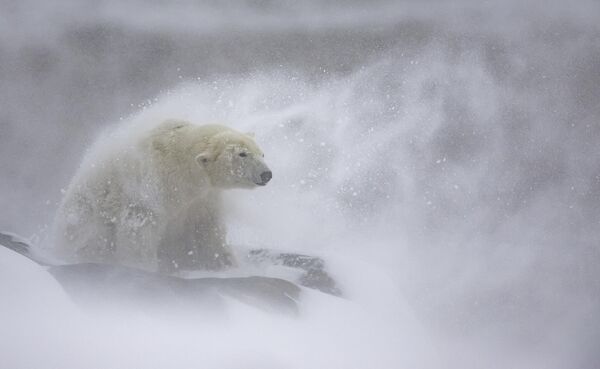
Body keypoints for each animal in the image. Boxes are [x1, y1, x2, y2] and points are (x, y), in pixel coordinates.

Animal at [52, 119, 270, 272]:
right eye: (242, 154)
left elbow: (207, 230)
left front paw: (226, 263)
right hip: (85, 215)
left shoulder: (203, 198)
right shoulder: (150, 187)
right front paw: (142, 267)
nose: (266, 174)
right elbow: (139, 228)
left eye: (261, 153)